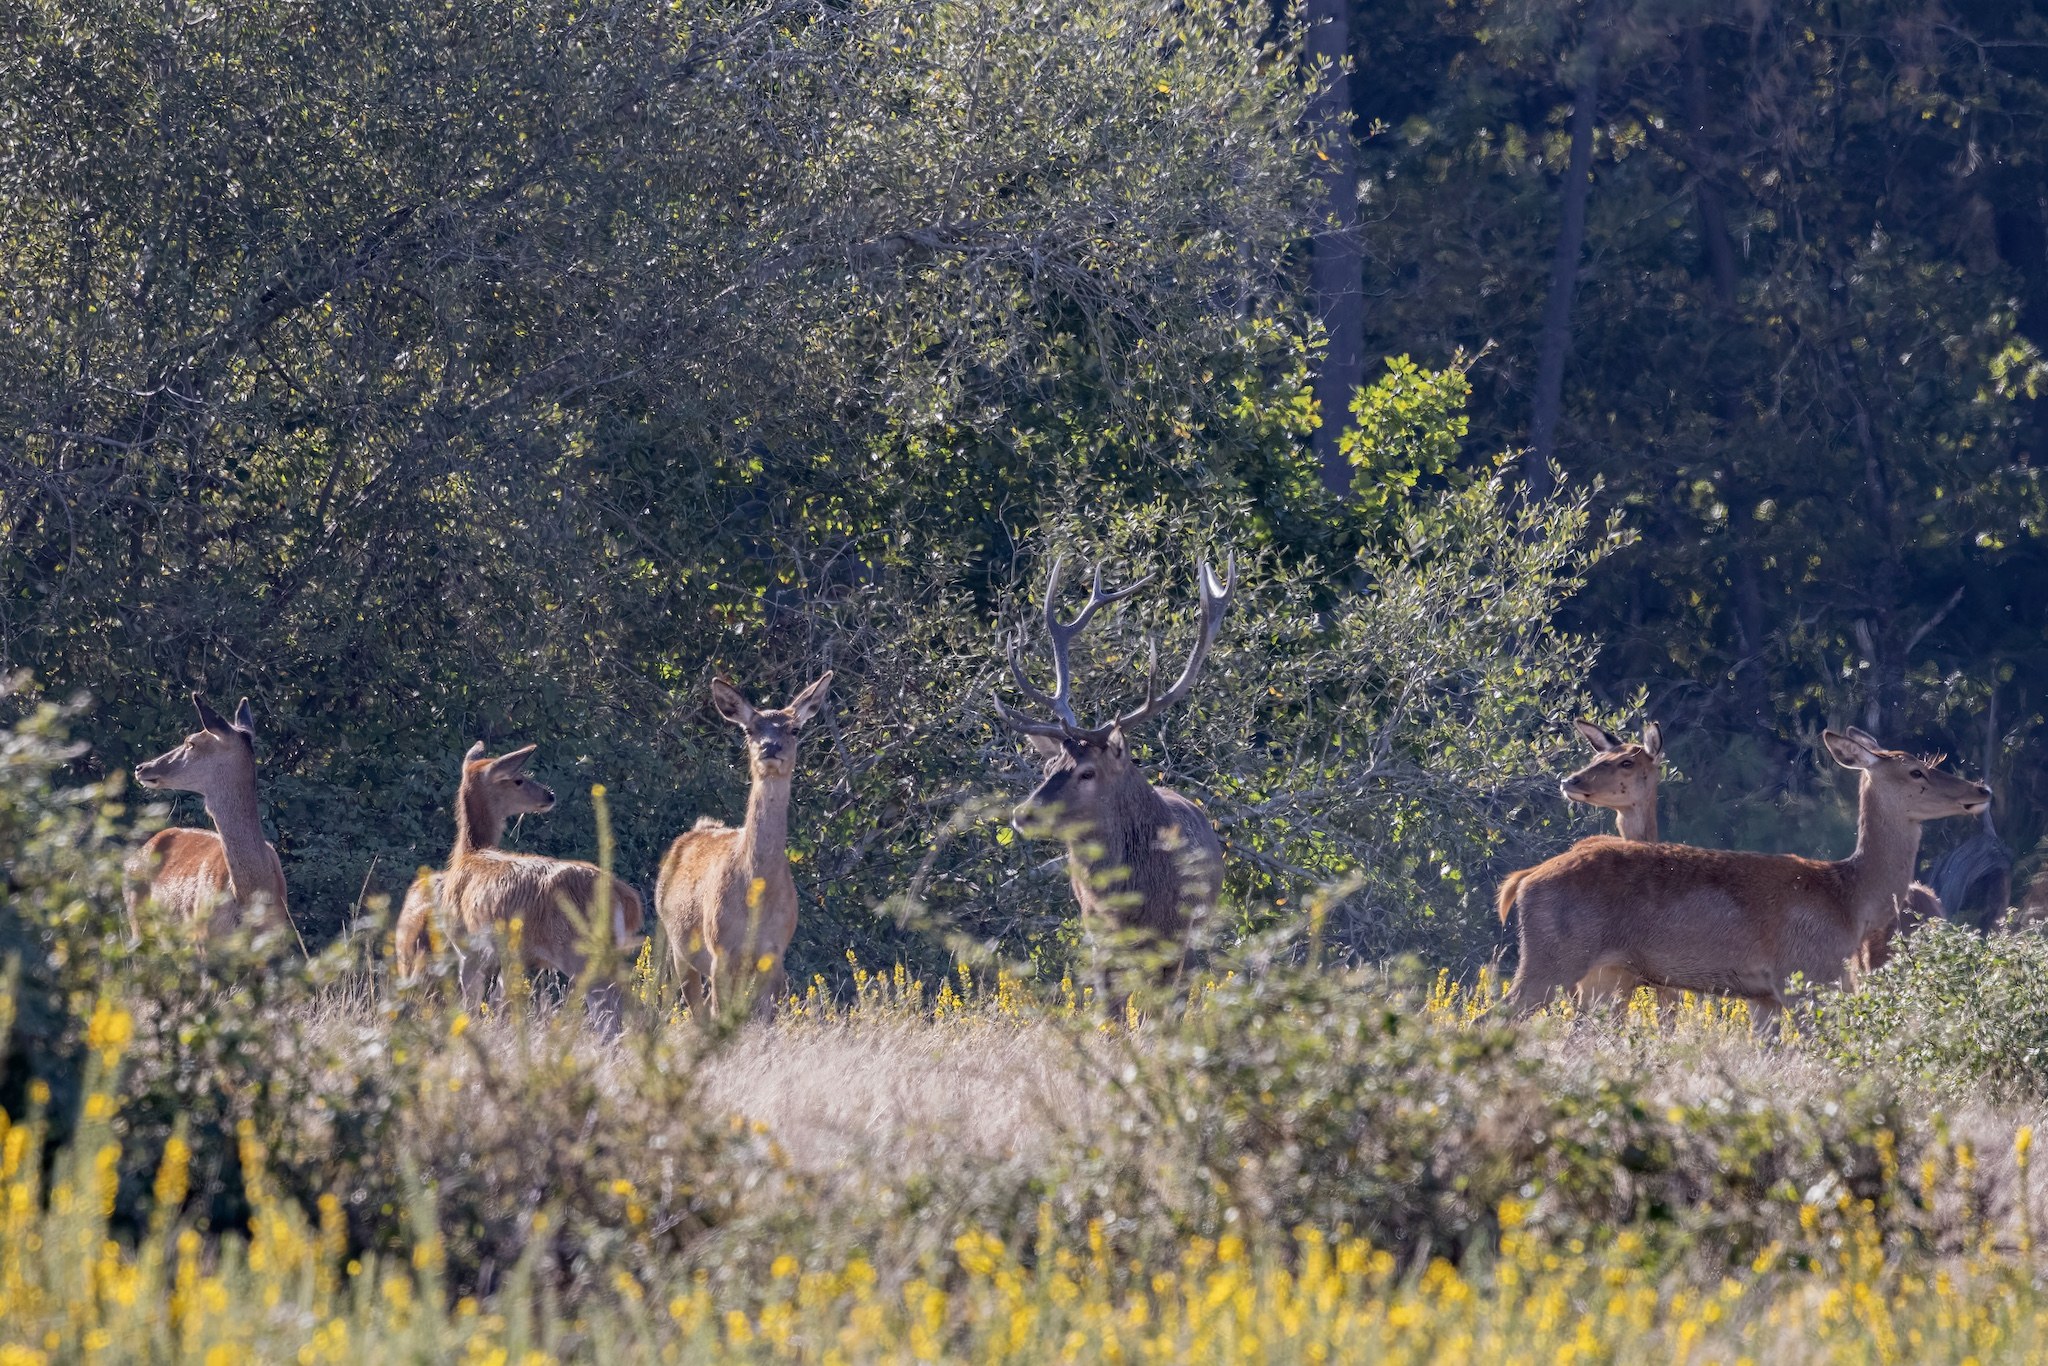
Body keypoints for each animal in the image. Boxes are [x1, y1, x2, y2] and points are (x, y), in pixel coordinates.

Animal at [435, 743, 645, 1013]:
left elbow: (471, 1004)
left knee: (608, 1004)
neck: (469, 855)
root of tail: (624, 897)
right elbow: (499, 1002)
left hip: (579, 949)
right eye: (518, 780)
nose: (549, 795)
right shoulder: (511, 958)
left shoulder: (466, 945)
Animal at [655, 673, 833, 1022]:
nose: (770, 747)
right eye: (750, 729)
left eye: (794, 729)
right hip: (677, 945)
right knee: (694, 1007)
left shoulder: (775, 952)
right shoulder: (721, 948)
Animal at [1499, 727, 1989, 1020]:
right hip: (1554, 957)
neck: (1850, 901)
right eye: (1916, 771)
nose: (1981, 789)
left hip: (1603, 974)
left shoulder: (1764, 997)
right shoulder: (1806, 976)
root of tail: (1522, 881)